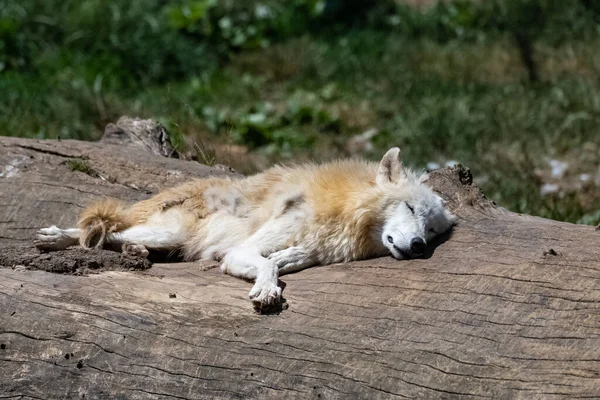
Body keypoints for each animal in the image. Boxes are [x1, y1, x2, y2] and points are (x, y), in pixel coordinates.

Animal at [35, 148, 454, 310]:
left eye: (432, 230)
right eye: (410, 208)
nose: (419, 245)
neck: (344, 213)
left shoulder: (306, 252)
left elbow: (281, 260)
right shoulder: (239, 251)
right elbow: (266, 265)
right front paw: (267, 292)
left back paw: (133, 255)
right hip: (165, 232)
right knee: (102, 233)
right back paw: (55, 238)